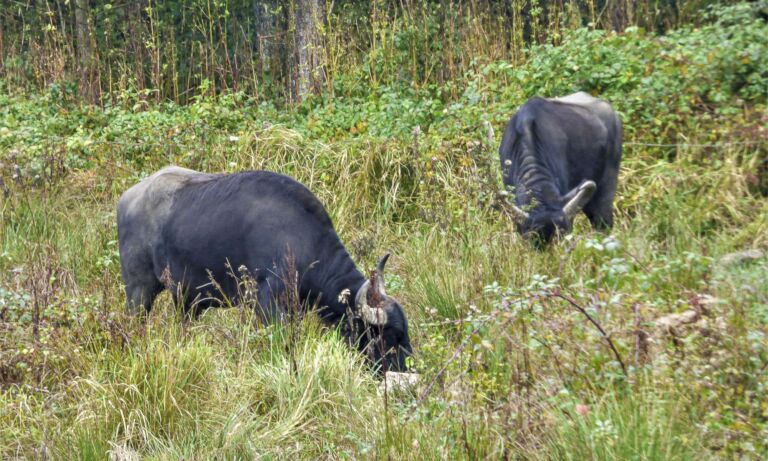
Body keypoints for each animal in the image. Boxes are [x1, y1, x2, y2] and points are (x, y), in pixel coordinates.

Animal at [117, 165, 412, 370]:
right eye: (388, 335)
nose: (405, 371)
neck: (302, 240)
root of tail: (126, 199)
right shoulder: (267, 302)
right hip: (138, 291)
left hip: (187, 302)